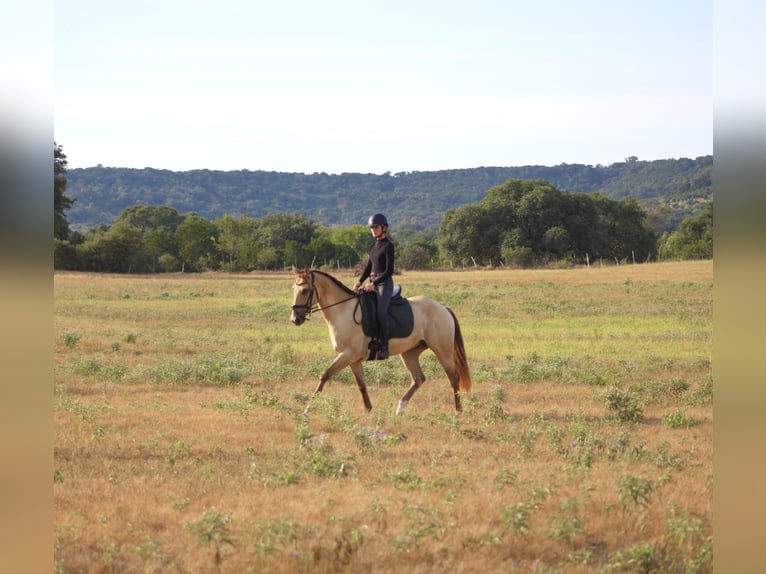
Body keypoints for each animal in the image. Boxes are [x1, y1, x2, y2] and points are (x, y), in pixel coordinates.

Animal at [290, 266, 471, 415]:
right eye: (294, 289)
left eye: (305, 290)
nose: (295, 319)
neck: (343, 311)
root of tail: (442, 308)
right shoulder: (353, 359)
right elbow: (362, 384)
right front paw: (369, 410)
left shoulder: (348, 354)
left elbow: (324, 375)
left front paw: (307, 409)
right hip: (409, 353)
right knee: (418, 378)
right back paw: (400, 409)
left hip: (442, 351)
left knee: (453, 378)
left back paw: (458, 411)